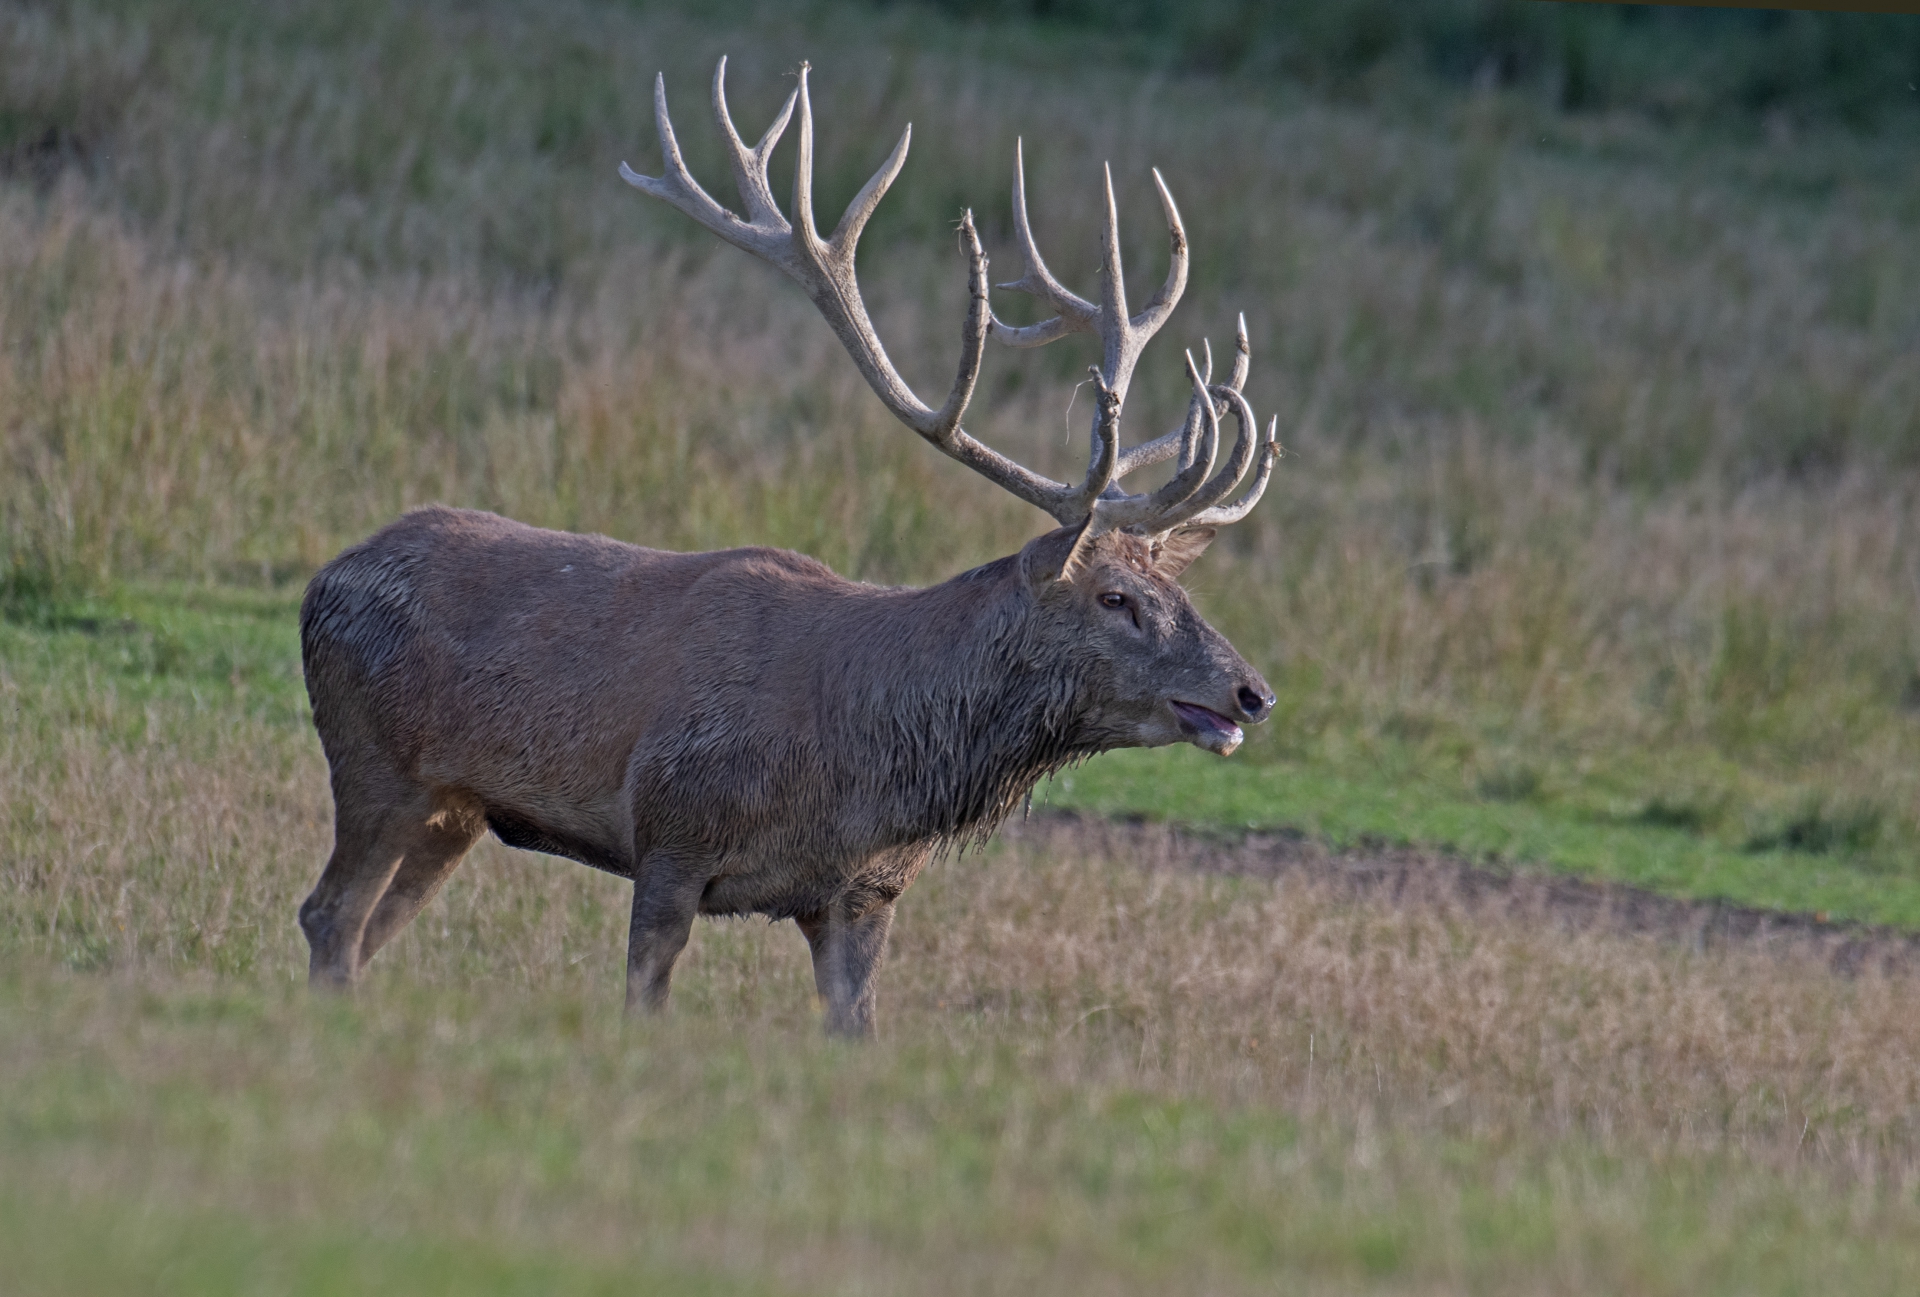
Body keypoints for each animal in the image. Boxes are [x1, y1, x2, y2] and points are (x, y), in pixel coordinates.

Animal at [299, 58, 1282, 1036]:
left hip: (454, 809)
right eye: (1115, 598)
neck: (855, 765)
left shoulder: (862, 897)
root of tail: (323, 578)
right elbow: (642, 997)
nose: (1253, 690)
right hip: (375, 758)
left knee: (367, 928)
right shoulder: (671, 829)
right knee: (328, 914)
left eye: (1179, 592)